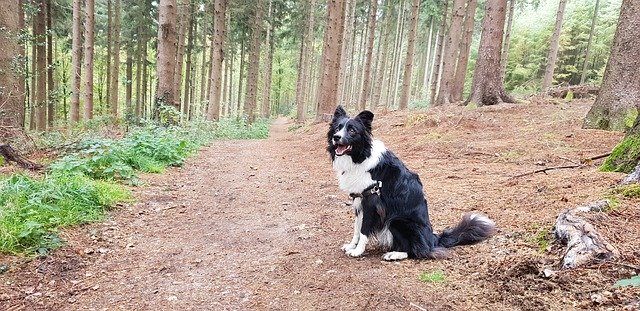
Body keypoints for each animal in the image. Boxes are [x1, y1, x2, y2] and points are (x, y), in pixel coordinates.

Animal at [324, 106, 496, 262]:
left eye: (352, 130)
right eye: (338, 128)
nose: (336, 137)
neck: (360, 156)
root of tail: (433, 240)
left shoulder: (372, 201)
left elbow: (364, 230)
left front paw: (358, 251)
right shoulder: (359, 199)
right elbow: (357, 228)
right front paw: (351, 246)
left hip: (398, 220)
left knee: (419, 251)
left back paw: (395, 254)